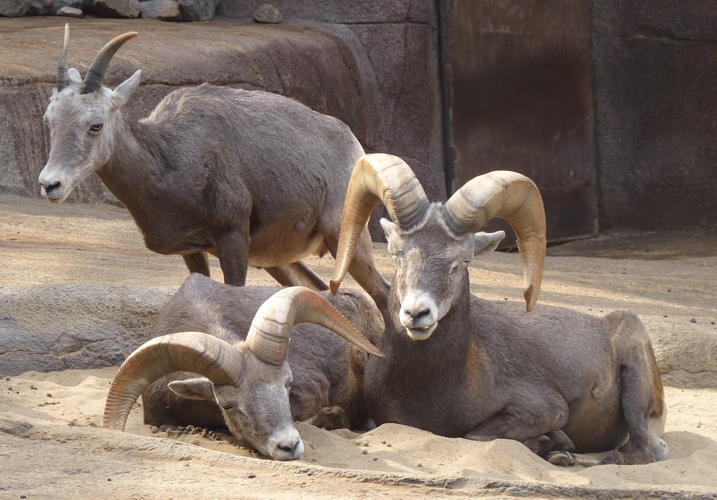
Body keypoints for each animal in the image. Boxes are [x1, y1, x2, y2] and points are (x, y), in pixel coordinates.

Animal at [38, 25, 389, 311]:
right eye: (49, 120)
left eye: (95, 125)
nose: (50, 184)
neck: (171, 160)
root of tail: (354, 146)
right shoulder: (193, 250)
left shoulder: (232, 236)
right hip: (280, 262)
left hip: (345, 238)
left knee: (383, 294)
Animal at [329, 153, 668, 466]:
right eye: (397, 254)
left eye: (462, 261)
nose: (416, 314)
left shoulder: (545, 408)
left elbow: (476, 436)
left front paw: (557, 443)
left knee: (639, 453)